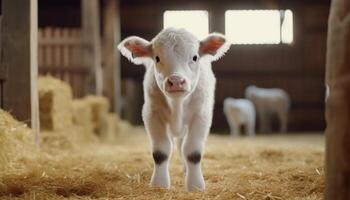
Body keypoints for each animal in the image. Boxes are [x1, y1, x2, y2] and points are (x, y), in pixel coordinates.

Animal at [118, 27, 230, 191]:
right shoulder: (152, 114)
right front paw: (159, 184)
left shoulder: (201, 116)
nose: (176, 81)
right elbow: (161, 151)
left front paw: (195, 185)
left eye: (195, 57)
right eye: (157, 58)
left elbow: (192, 151)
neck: (177, 105)